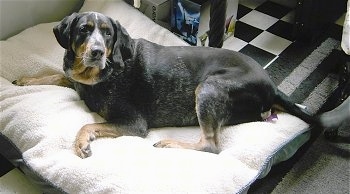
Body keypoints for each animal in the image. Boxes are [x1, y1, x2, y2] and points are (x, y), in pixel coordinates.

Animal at [13, 11, 318, 158]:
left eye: (108, 34)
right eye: (83, 30)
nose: (97, 52)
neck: (95, 75)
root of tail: (272, 85)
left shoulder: (134, 123)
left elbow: (87, 124)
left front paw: (81, 144)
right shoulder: (75, 78)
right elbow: (54, 74)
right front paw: (25, 79)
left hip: (209, 88)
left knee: (210, 146)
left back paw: (169, 143)